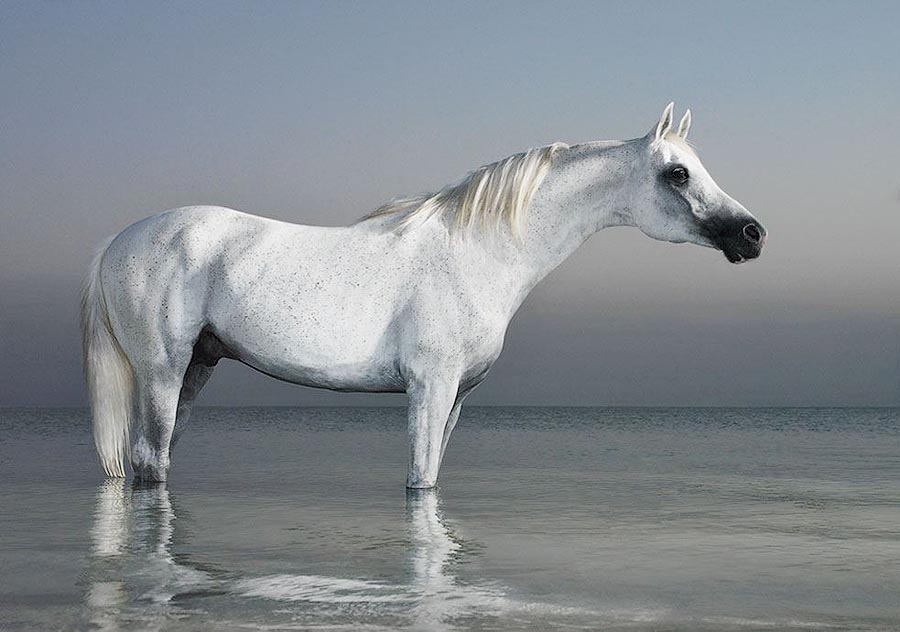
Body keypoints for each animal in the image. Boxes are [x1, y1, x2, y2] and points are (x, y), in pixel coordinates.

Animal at [81, 103, 766, 488]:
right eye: (677, 173)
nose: (752, 234)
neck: (478, 254)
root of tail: (117, 241)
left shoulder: (456, 398)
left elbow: (431, 482)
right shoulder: (428, 388)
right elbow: (419, 485)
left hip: (198, 367)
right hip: (162, 372)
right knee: (148, 462)